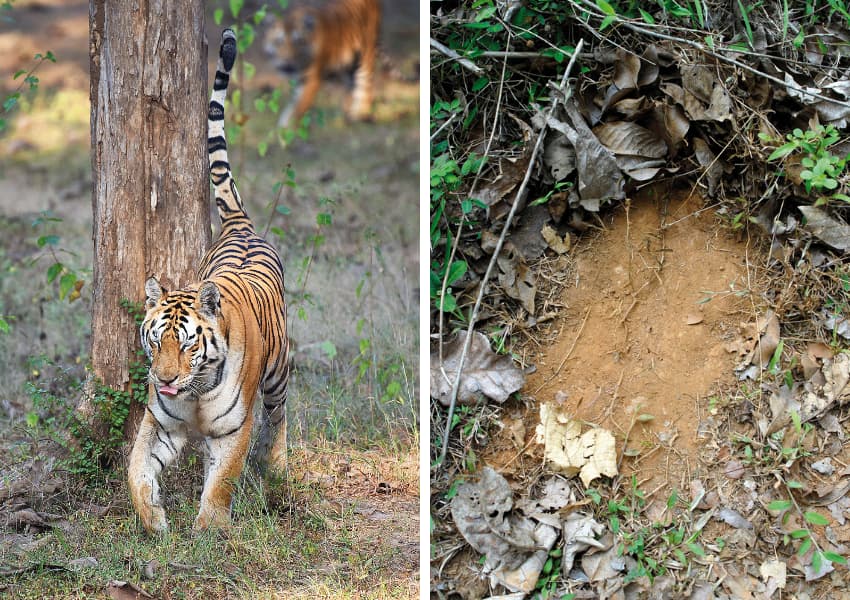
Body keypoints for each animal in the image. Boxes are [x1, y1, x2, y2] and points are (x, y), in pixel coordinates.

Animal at [126, 28, 292, 536]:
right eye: (155, 340)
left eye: (186, 344)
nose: (163, 379)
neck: (194, 391)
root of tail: (239, 224)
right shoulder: (160, 424)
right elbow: (136, 469)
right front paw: (155, 521)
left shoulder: (234, 429)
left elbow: (223, 478)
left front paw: (209, 530)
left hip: (279, 372)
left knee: (279, 417)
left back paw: (277, 469)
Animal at [262, 0, 380, 132]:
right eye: (279, 41)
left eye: (298, 42)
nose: (287, 62)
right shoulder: (298, 80)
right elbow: (293, 103)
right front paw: (283, 125)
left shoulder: (311, 80)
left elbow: (299, 107)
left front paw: (289, 129)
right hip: (347, 66)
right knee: (350, 87)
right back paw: (344, 117)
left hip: (366, 52)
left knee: (365, 85)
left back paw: (359, 114)